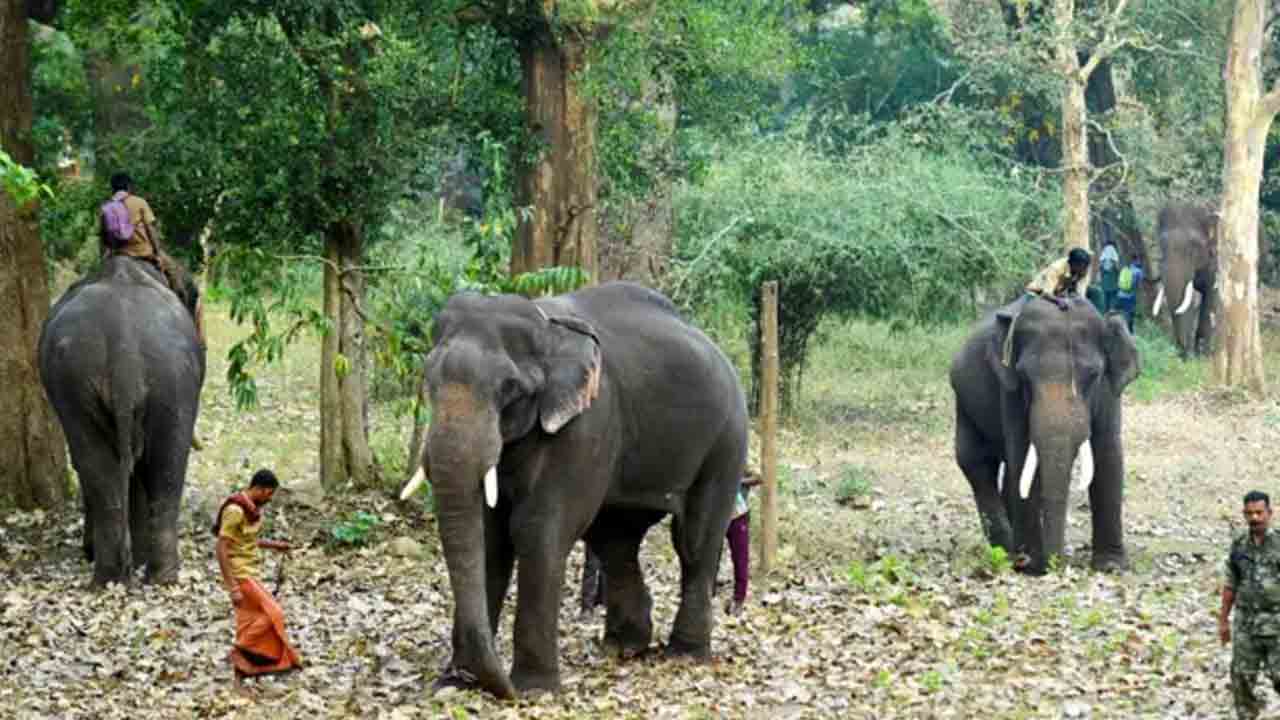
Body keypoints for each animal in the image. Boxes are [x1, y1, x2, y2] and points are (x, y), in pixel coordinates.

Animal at [38, 255, 205, 586]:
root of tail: (123, 349)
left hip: (90, 380)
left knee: (99, 464)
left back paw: (116, 576)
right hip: (169, 376)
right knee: (164, 464)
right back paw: (155, 577)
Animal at [398, 281, 748, 698]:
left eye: (510, 388)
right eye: (427, 379)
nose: (496, 686)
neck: (546, 323)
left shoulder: (585, 425)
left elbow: (537, 531)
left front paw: (533, 691)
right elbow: (490, 536)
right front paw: (455, 682)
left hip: (727, 439)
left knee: (694, 538)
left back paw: (684, 654)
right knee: (616, 538)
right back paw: (623, 646)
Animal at [950, 296, 1139, 575]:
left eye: (1094, 376)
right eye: (1025, 378)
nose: (1055, 564)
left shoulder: (1109, 392)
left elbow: (1108, 453)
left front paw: (1111, 566)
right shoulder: (1010, 389)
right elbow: (1020, 451)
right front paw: (1031, 566)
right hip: (963, 404)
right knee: (977, 463)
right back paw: (1006, 551)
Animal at [1151, 204, 1217, 357]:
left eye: (1194, 247)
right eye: (1162, 245)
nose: (1182, 352)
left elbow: (1210, 297)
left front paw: (1202, 356)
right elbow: (1189, 302)